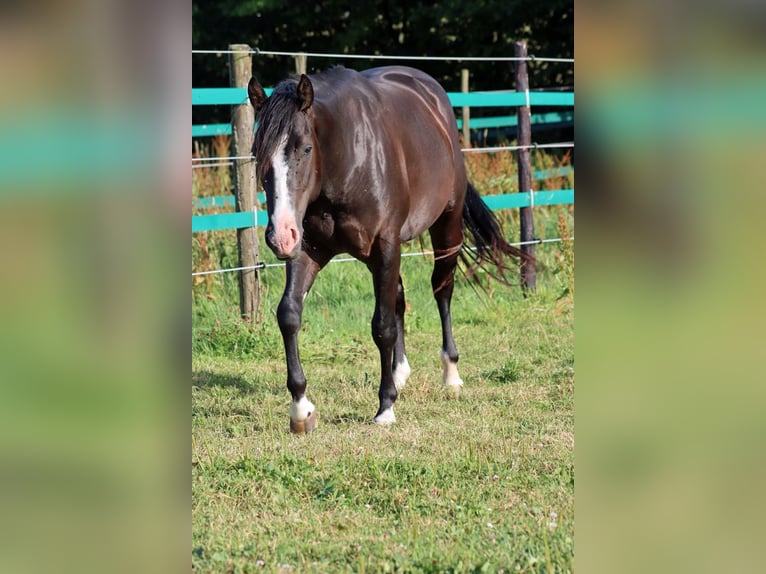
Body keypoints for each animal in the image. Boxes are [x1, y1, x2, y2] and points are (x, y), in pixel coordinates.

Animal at [247, 65, 525, 432]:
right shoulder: (308, 249)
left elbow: (382, 326)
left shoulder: (386, 245)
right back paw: (399, 371)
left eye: (305, 149)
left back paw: (450, 373)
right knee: (399, 296)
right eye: (257, 154)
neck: (346, 162)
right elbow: (289, 315)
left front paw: (385, 406)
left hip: (445, 227)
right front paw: (300, 408)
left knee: (442, 289)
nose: (280, 235)